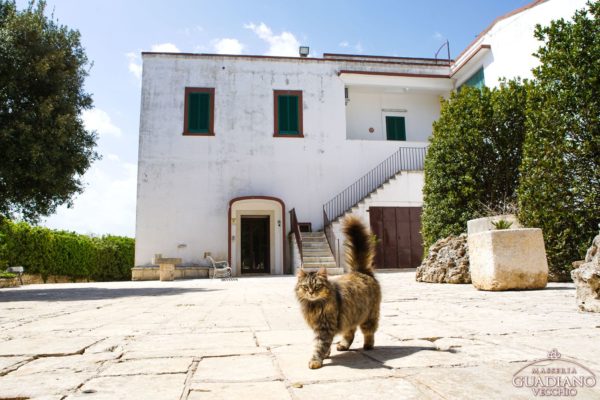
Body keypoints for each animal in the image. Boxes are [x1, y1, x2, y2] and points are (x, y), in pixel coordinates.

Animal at [298, 216, 382, 368]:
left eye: (317, 286)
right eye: (306, 287)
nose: (311, 292)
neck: (314, 306)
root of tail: (360, 271)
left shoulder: (325, 328)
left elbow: (320, 345)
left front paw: (315, 361)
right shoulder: (320, 327)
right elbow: (326, 345)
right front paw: (326, 355)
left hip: (369, 316)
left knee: (369, 332)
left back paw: (368, 345)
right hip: (350, 315)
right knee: (350, 333)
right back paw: (343, 345)